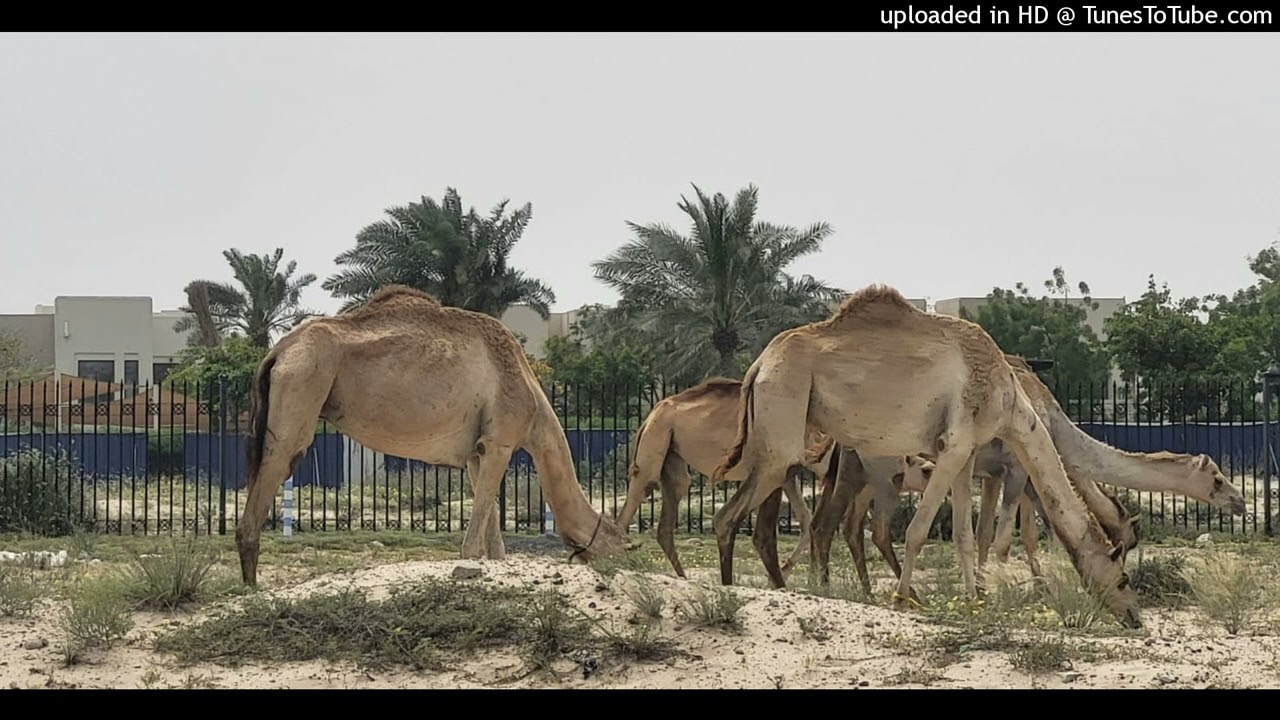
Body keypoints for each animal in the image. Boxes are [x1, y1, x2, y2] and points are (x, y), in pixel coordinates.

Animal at [234, 285, 629, 586]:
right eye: (619, 542)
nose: (624, 563)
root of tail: (279, 350)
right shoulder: (500, 440)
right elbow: (478, 535)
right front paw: (468, 567)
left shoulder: (476, 452)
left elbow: (494, 534)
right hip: (303, 379)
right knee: (279, 462)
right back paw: (252, 589)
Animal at [613, 377, 936, 579]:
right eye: (926, 470)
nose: (934, 480)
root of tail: (654, 410)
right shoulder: (793, 470)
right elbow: (794, 528)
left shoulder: (790, 476)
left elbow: (805, 522)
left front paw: (788, 571)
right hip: (655, 444)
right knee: (635, 498)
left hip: (674, 461)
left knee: (666, 519)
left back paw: (683, 577)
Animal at [709, 284, 1141, 628]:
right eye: (1122, 578)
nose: (1135, 617)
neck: (1011, 400)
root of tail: (758, 366)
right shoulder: (954, 445)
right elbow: (918, 530)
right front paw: (903, 599)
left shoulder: (967, 453)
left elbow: (965, 534)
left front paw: (974, 599)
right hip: (783, 421)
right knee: (728, 515)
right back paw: (731, 597)